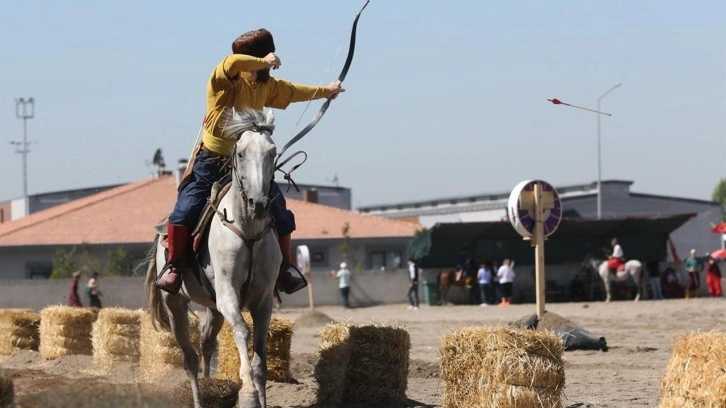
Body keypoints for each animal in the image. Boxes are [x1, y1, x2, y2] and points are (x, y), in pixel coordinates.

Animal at [146, 108, 282, 408]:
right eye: (241, 153)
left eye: (272, 152)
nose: (259, 204)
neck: (247, 228)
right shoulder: (227, 292)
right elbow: (242, 331)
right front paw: (248, 393)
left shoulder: (264, 299)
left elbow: (261, 355)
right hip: (175, 304)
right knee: (190, 358)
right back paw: (199, 397)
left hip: (213, 308)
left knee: (206, 345)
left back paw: (211, 384)